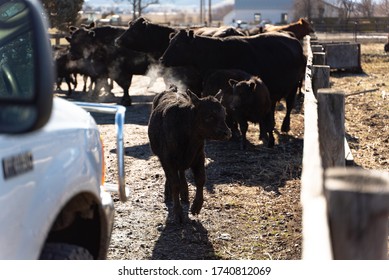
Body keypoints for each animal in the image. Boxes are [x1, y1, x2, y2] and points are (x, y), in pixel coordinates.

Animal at [148, 85, 230, 223]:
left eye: (224, 113)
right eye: (209, 116)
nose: (227, 133)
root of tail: (172, 90)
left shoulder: (199, 156)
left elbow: (201, 179)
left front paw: (197, 206)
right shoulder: (167, 159)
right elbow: (174, 184)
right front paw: (178, 212)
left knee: (181, 172)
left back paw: (185, 193)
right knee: (171, 176)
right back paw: (169, 193)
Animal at [159, 30, 304, 144]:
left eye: (178, 44)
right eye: (171, 41)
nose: (162, 59)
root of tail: (294, 40)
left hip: (293, 87)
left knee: (289, 106)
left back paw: (284, 126)